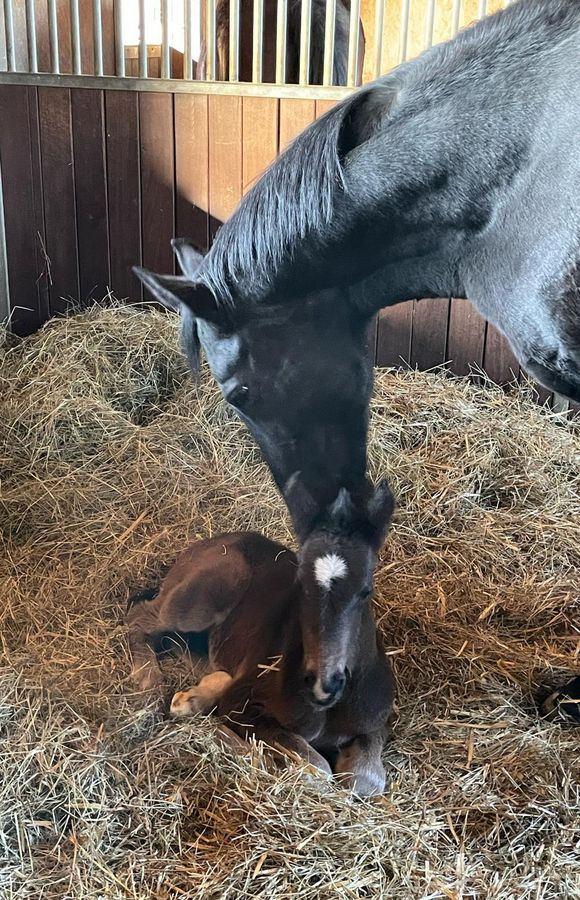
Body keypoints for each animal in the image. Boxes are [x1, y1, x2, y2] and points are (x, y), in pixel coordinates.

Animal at [125, 478, 398, 796]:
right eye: (300, 585)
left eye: (365, 589)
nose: (323, 682)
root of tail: (203, 545)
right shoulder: (245, 705)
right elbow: (316, 769)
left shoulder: (374, 724)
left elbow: (365, 780)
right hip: (203, 596)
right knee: (141, 617)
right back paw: (149, 678)